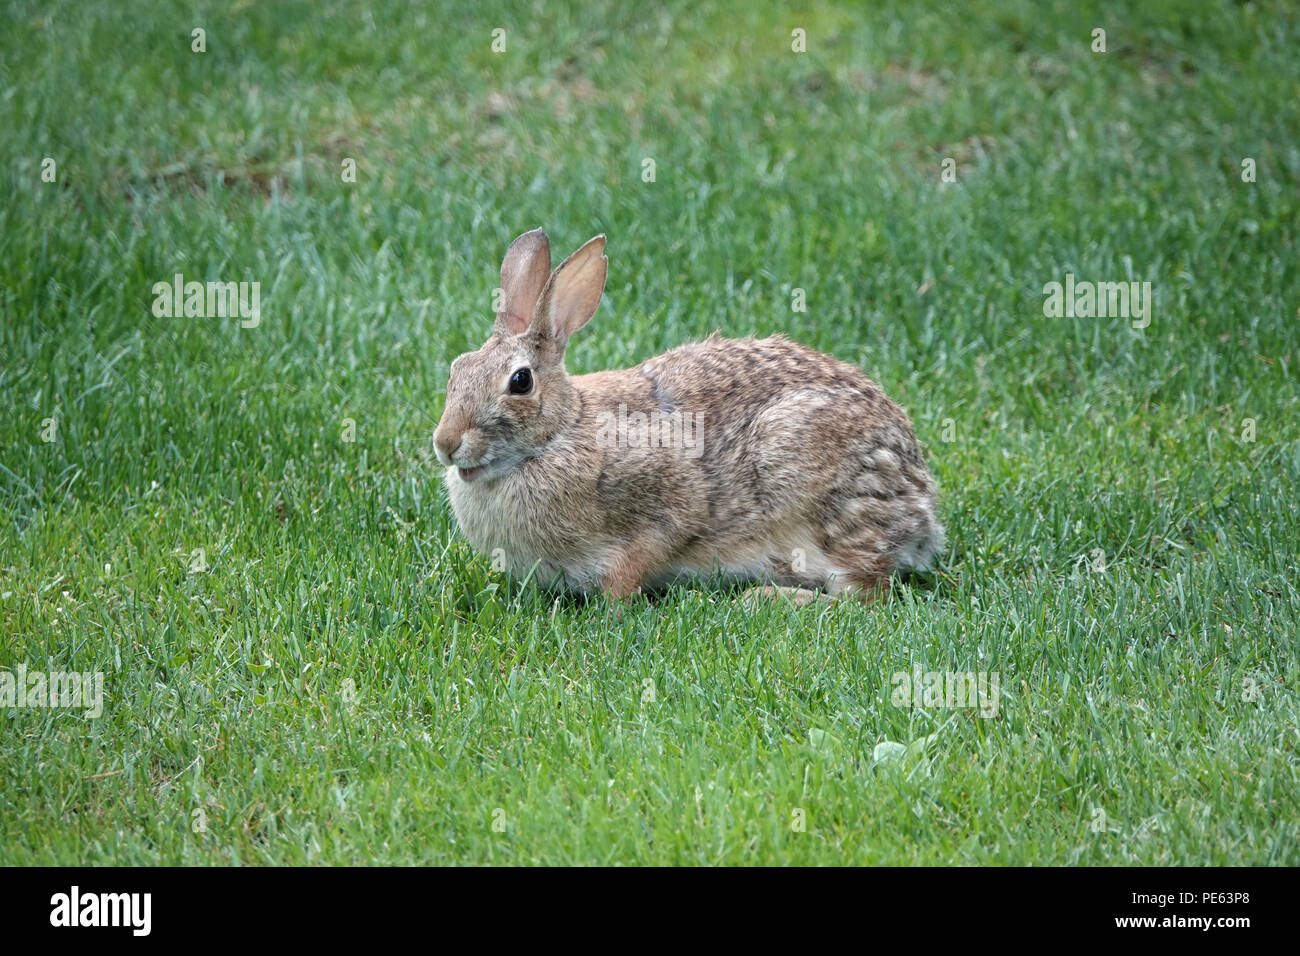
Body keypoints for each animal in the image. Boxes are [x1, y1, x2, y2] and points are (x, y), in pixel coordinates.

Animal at [436, 228, 946, 606]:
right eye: (456, 368)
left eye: (520, 382)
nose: (445, 443)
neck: (559, 434)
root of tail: (922, 506)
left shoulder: (672, 500)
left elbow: (644, 554)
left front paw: (615, 605)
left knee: (864, 594)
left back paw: (767, 599)